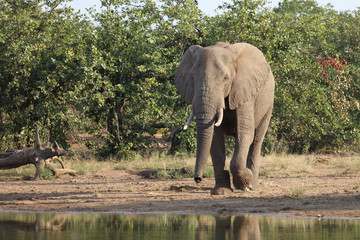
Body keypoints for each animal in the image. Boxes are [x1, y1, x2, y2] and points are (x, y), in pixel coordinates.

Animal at [174, 41, 272, 195]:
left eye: (225, 78)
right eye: (192, 78)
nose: (198, 179)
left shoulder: (243, 90)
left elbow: (245, 133)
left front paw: (245, 182)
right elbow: (215, 138)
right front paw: (221, 191)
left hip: (268, 104)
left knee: (257, 139)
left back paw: (252, 185)